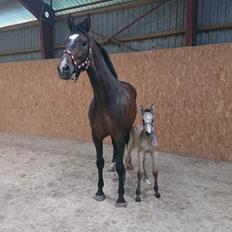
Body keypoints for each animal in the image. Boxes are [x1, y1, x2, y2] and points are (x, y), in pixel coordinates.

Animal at [57, 14, 137, 207]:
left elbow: (121, 164)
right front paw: (100, 191)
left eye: (83, 42)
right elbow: (99, 162)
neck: (106, 99)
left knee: (124, 151)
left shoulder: (119, 133)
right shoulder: (97, 135)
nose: (63, 68)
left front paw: (121, 197)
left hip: (126, 130)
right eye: (66, 41)